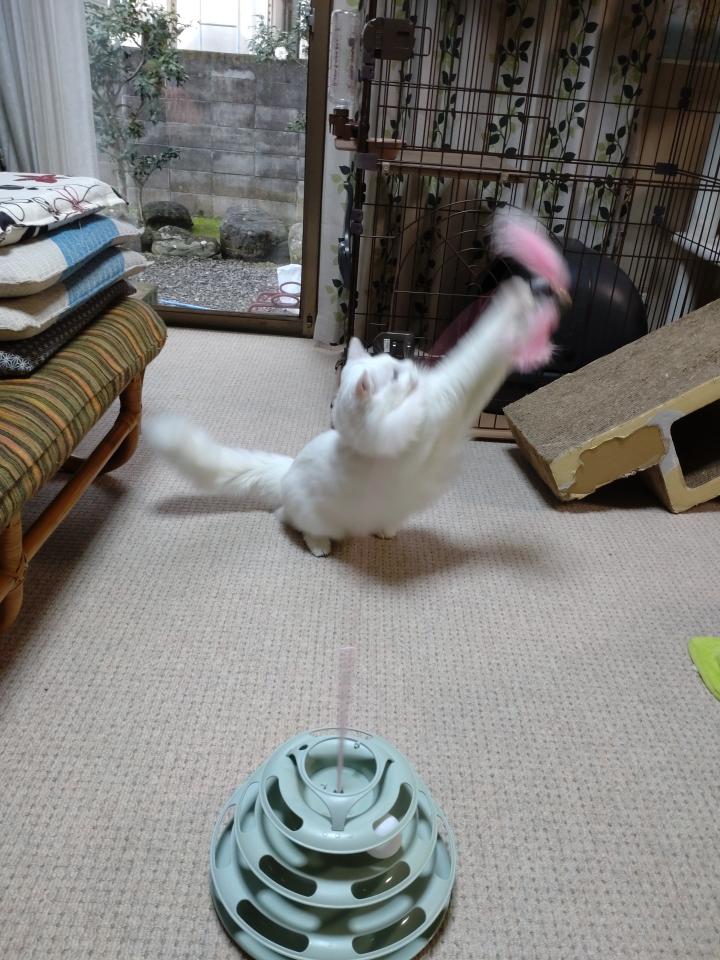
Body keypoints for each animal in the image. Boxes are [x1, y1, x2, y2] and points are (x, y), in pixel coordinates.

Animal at [145, 213, 569, 556]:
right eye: (396, 376)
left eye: (397, 363)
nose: (411, 370)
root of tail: (286, 472)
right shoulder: (449, 395)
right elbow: (482, 348)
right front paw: (518, 299)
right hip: (311, 516)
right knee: (288, 520)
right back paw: (322, 546)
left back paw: (385, 531)